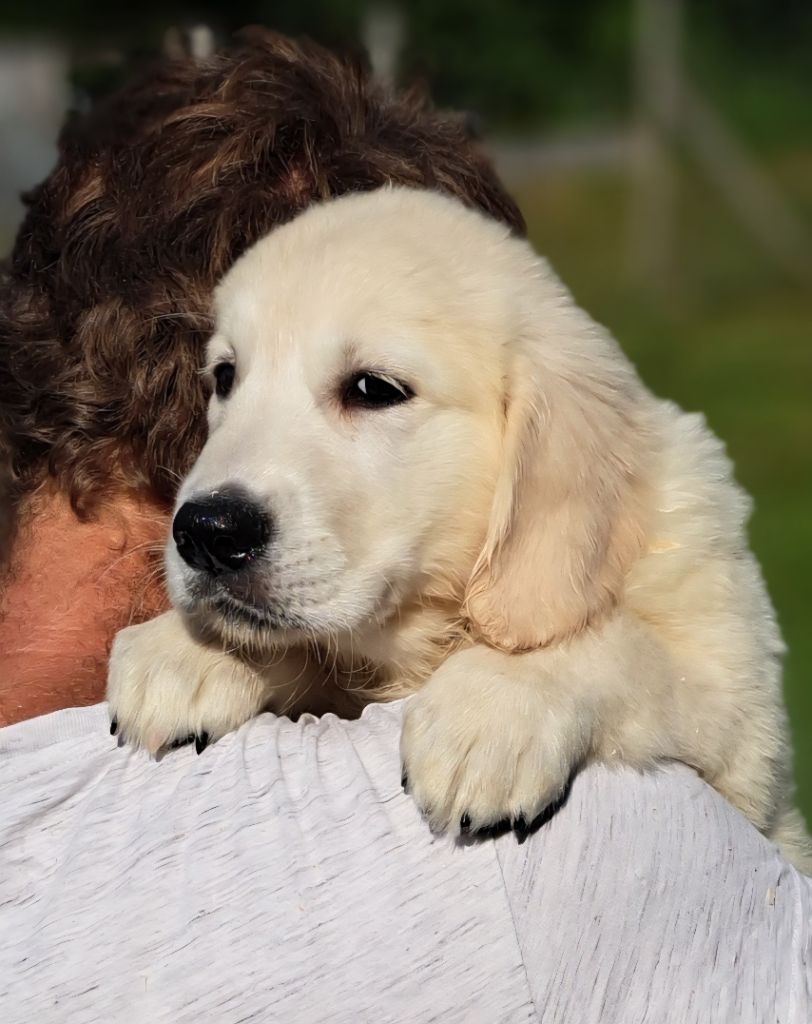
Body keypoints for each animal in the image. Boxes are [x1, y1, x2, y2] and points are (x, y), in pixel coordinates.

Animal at [107, 186, 811, 869]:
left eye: (373, 388)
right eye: (226, 378)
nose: (206, 532)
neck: (434, 624)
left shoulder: (743, 727)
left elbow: (627, 649)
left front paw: (492, 713)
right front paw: (187, 648)